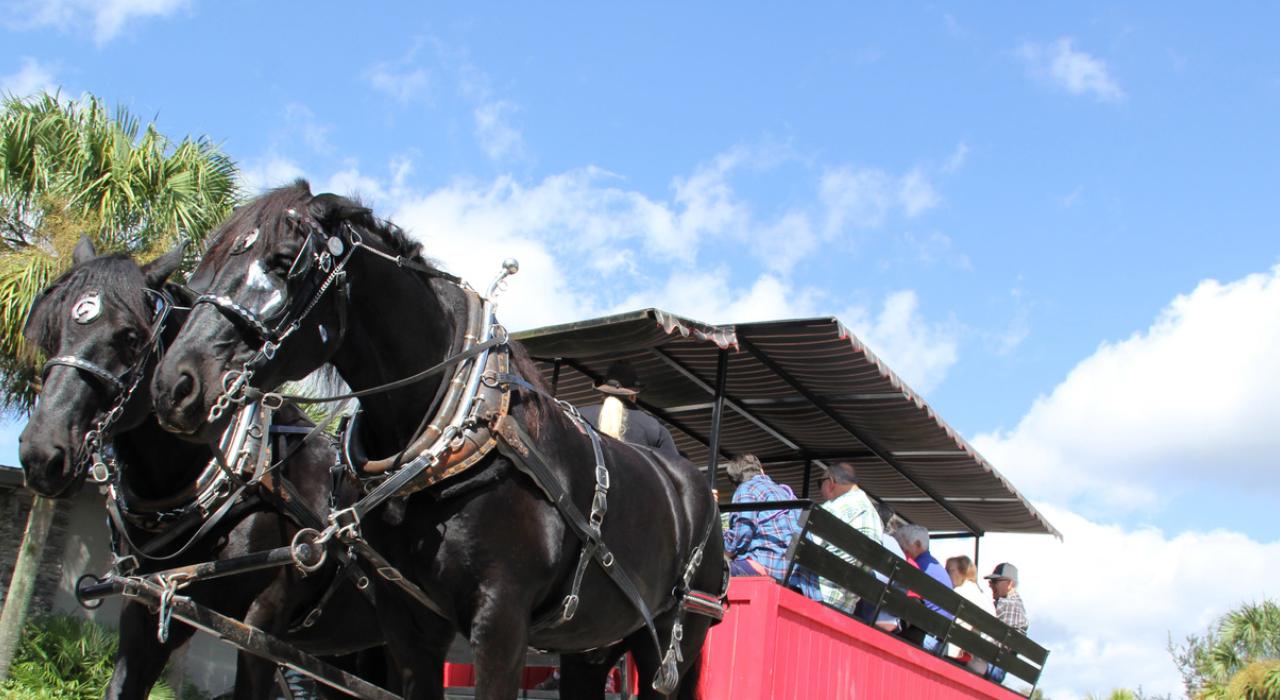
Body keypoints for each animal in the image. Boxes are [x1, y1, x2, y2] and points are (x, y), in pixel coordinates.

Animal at [150, 181, 727, 700]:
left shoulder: (500, 621)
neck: (457, 436)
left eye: (285, 261)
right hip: (591, 643)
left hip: (670, 643)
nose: (175, 385)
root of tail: (696, 486)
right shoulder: (407, 623)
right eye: (204, 267)